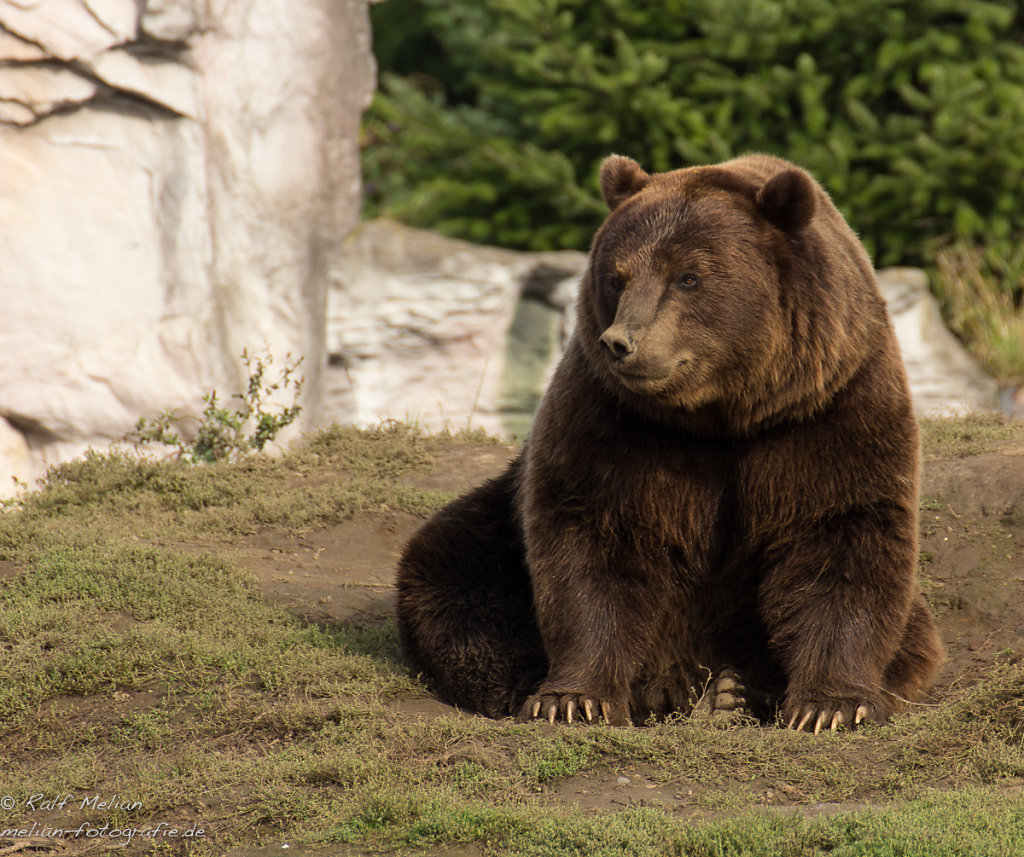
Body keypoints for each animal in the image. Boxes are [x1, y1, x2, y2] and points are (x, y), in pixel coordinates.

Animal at [393, 152, 942, 729]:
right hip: (491, 528)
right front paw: (574, 699)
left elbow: (842, 534)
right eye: (617, 276)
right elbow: (592, 539)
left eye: (689, 277)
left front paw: (831, 706)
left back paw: (730, 692)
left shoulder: (828, 409)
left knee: (914, 635)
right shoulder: (618, 420)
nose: (621, 343)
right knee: (452, 577)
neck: (722, 417)